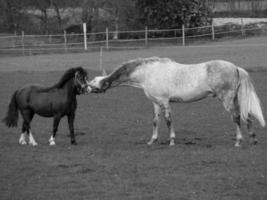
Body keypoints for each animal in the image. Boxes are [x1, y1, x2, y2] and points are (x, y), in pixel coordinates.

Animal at [88, 56, 266, 147]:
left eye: (95, 82)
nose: (86, 88)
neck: (148, 73)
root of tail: (235, 67)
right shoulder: (155, 103)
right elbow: (155, 121)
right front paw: (152, 140)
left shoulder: (164, 101)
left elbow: (168, 120)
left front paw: (172, 141)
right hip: (236, 99)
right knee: (247, 117)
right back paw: (253, 139)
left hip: (227, 99)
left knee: (236, 118)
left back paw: (239, 141)